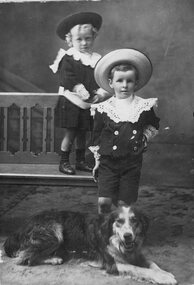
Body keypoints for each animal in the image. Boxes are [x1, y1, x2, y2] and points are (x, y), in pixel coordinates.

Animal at [3, 205, 177, 282]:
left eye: (134, 221)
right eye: (119, 221)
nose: (128, 236)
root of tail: (23, 225)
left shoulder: (136, 254)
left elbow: (152, 264)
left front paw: (164, 273)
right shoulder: (113, 264)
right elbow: (140, 269)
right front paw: (164, 278)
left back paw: (54, 258)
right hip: (55, 233)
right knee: (23, 258)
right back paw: (53, 258)